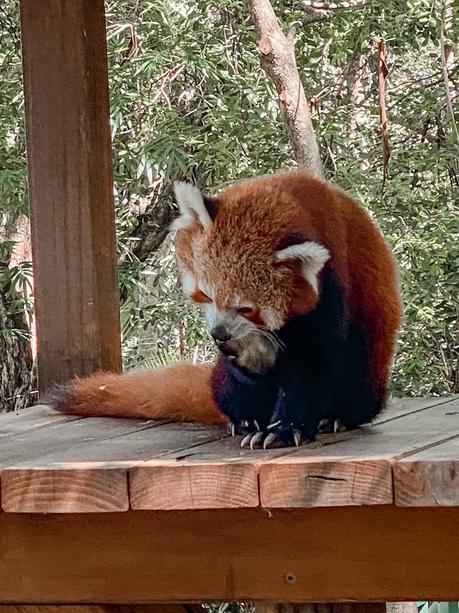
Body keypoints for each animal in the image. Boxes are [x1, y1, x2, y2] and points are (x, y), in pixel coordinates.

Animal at [50, 170, 402, 448]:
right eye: (206, 295)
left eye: (246, 308)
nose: (219, 334)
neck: (290, 196)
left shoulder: (332, 286)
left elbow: (311, 365)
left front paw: (285, 429)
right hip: (223, 382)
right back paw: (246, 419)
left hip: (366, 368)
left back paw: (334, 418)